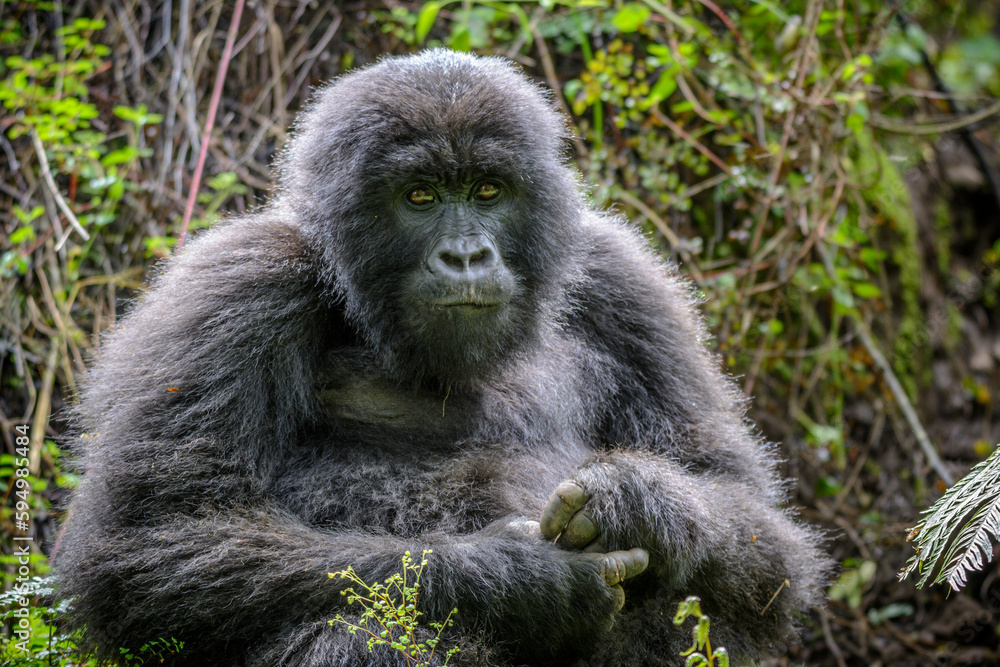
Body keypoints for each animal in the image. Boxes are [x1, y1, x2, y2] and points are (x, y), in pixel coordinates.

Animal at [58, 49, 832, 664]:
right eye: (420, 196)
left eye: (488, 189)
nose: (466, 256)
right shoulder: (243, 283)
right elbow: (154, 539)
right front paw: (517, 577)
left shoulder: (626, 286)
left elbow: (755, 528)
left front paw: (639, 502)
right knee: (361, 631)